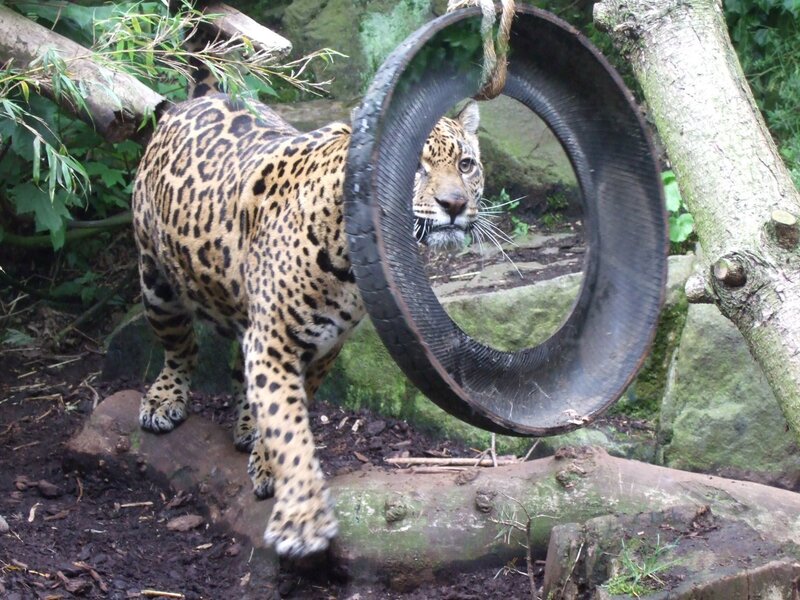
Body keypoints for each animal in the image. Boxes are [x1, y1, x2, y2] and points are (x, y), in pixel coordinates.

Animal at [131, 85, 484, 557]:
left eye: (466, 164)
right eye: (416, 165)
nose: (455, 205)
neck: (347, 260)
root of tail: (198, 96)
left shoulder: (325, 344)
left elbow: (289, 411)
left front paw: (266, 462)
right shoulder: (274, 340)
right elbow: (287, 424)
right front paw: (301, 517)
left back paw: (245, 425)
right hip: (156, 280)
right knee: (181, 346)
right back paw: (163, 399)